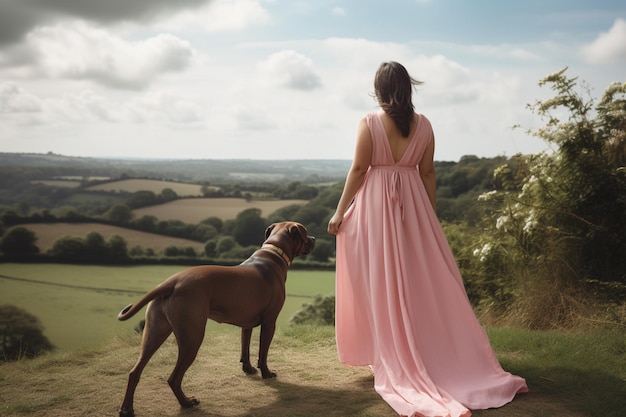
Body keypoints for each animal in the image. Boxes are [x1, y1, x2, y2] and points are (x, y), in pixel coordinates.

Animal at [116, 221, 312, 416]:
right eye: (305, 232)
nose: (314, 238)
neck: (274, 252)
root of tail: (172, 282)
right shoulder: (269, 323)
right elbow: (263, 353)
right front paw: (267, 373)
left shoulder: (246, 324)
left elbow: (245, 348)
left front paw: (248, 369)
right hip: (192, 338)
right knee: (174, 378)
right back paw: (186, 403)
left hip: (154, 333)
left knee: (135, 372)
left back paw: (127, 408)